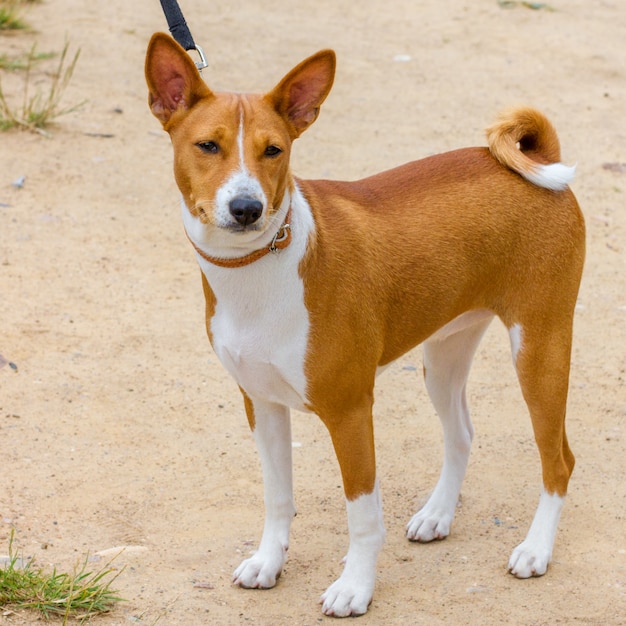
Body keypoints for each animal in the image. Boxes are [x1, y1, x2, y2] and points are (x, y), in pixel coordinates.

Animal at [144, 33, 584, 616]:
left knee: (559, 461)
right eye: (207, 146)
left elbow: (362, 515)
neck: (258, 270)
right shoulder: (261, 403)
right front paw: (269, 562)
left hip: (540, 351)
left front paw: (355, 586)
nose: (246, 207)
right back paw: (437, 515)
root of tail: (540, 157)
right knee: (462, 433)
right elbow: (277, 497)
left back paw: (535, 549)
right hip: (444, 357)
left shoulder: (351, 412)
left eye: (273, 150)